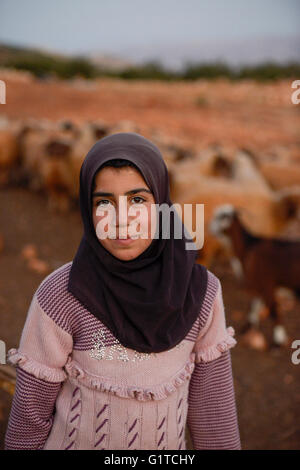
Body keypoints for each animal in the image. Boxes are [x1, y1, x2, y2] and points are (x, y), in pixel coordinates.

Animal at [209, 204, 300, 346]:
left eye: (222, 216)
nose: (210, 228)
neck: (249, 247)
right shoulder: (258, 284)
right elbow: (254, 304)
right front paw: (248, 327)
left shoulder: (268, 284)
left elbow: (274, 310)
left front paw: (277, 341)